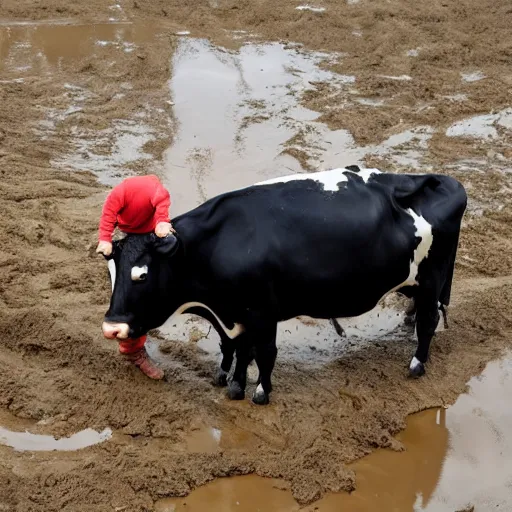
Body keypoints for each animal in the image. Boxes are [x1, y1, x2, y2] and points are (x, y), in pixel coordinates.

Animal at [100, 166, 468, 406]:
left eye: (142, 275)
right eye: (111, 274)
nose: (111, 327)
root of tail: (439, 180)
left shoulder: (262, 313)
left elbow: (264, 353)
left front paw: (260, 393)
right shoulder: (232, 314)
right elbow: (237, 349)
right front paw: (233, 385)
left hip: (432, 278)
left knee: (429, 321)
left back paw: (417, 364)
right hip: (419, 281)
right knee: (421, 310)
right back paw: (407, 322)